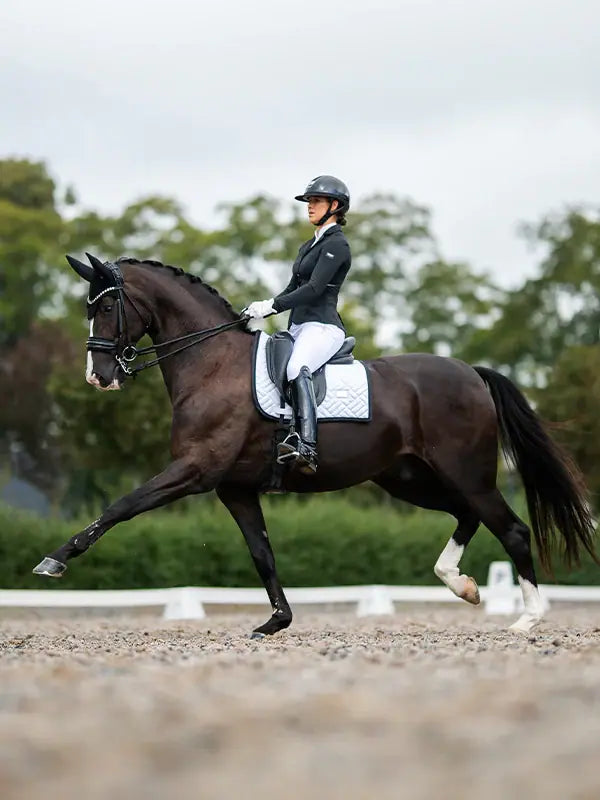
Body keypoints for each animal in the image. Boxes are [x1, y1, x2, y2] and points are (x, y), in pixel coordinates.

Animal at [34, 255, 600, 636]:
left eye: (110, 304)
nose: (98, 376)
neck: (212, 363)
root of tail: (470, 373)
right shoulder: (234, 488)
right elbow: (262, 553)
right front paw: (276, 622)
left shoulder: (195, 469)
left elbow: (121, 505)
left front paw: (55, 560)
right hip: (408, 478)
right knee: (469, 516)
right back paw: (462, 585)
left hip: (467, 472)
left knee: (512, 528)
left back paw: (527, 619)